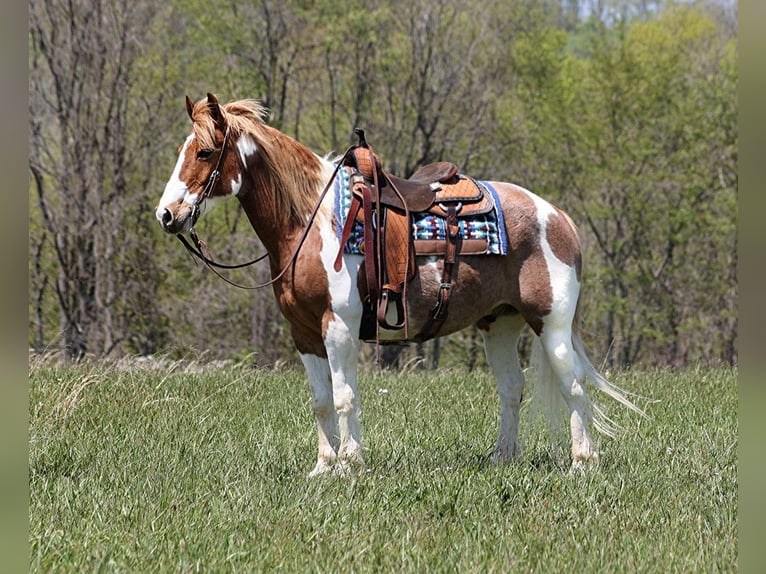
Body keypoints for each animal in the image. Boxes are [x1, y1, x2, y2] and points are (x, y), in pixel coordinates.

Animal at [154, 93, 640, 476]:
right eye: (182, 150)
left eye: (204, 152)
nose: (166, 215)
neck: (311, 220)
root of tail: (559, 218)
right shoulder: (304, 333)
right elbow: (321, 401)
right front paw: (324, 467)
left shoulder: (339, 327)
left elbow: (345, 397)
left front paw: (349, 466)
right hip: (499, 325)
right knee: (511, 389)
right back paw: (502, 458)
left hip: (551, 325)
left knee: (574, 385)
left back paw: (582, 463)